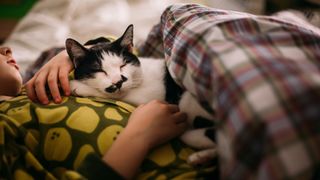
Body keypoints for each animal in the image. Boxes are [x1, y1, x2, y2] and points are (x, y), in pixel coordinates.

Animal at [65, 24, 215, 165]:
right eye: (99, 70)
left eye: (123, 64)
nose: (118, 82)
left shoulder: (151, 94)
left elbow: (115, 95)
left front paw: (76, 86)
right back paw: (201, 157)